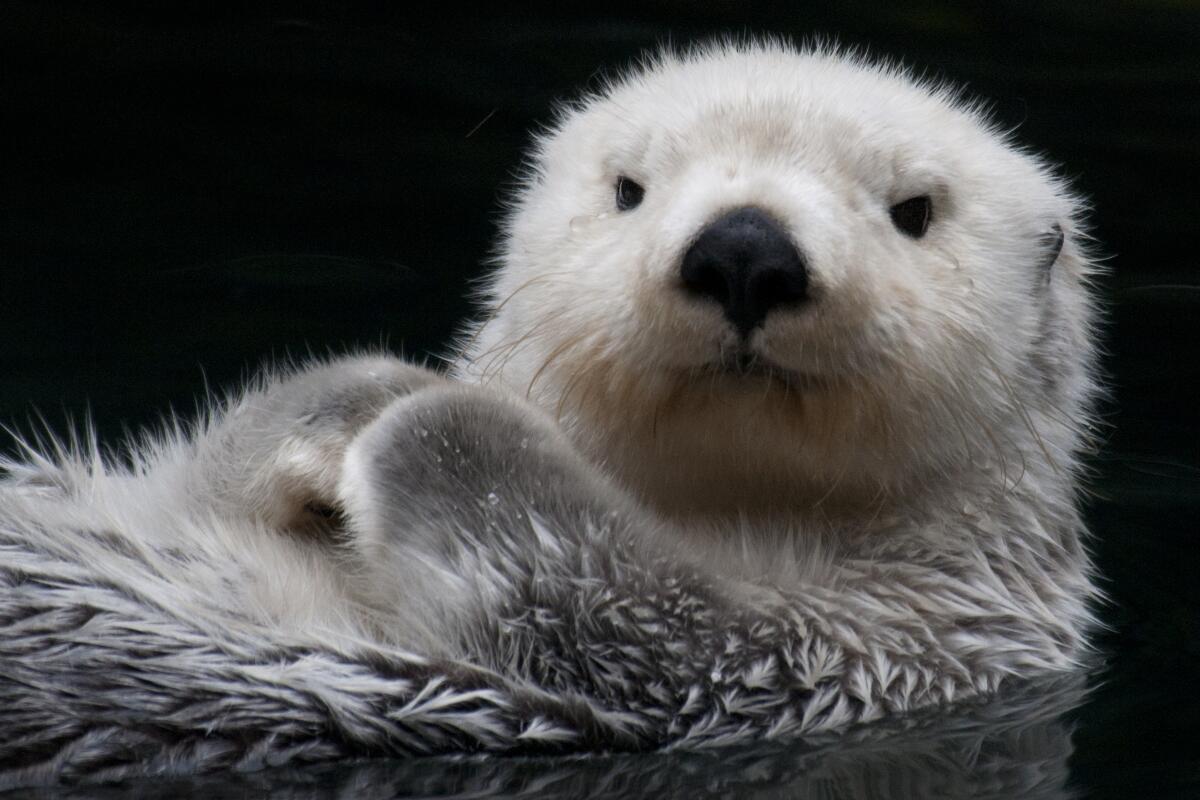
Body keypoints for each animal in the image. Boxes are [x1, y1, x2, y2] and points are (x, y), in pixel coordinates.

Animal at [0, 40, 1099, 786]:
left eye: (916, 210)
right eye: (629, 188)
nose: (745, 248)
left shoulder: (862, 650)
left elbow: (607, 599)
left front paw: (422, 415)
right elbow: (197, 471)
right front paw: (357, 399)